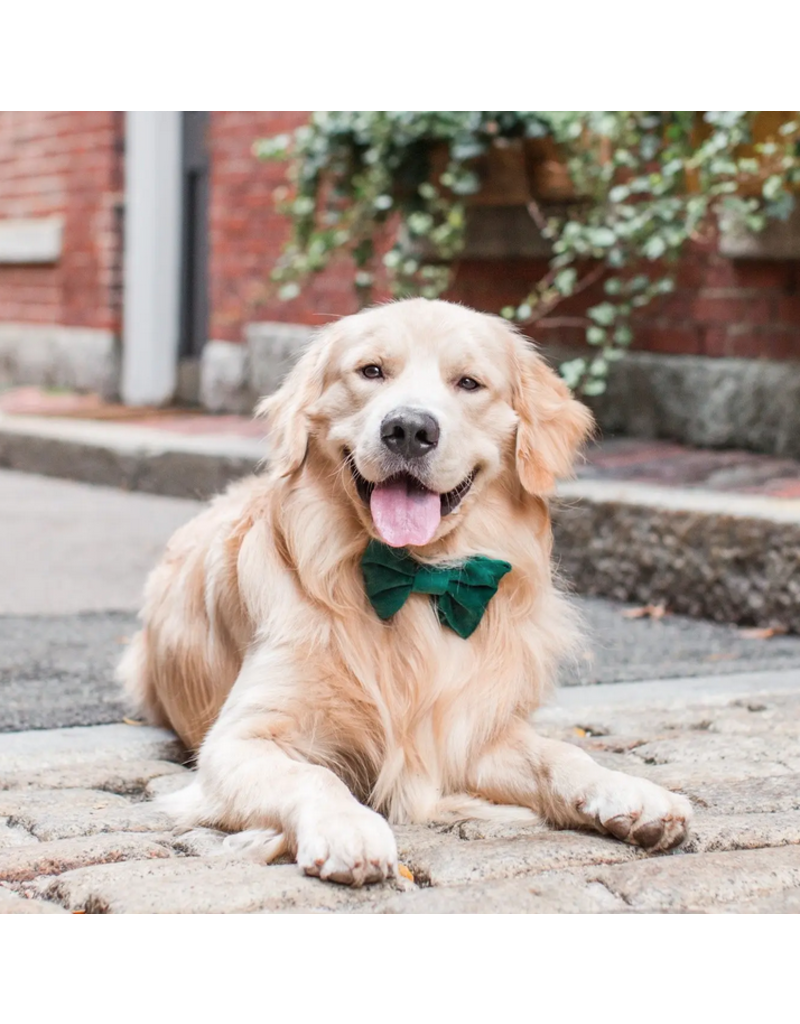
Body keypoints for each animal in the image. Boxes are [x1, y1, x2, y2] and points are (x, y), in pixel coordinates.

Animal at [120, 299, 692, 888]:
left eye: (469, 383)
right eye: (371, 371)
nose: (410, 428)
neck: (416, 576)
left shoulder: (471, 731)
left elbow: (561, 756)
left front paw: (630, 792)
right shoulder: (238, 740)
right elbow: (315, 776)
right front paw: (349, 828)